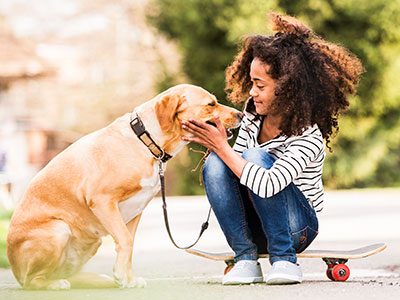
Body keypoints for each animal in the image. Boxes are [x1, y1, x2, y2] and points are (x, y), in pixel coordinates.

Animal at [6, 84, 242, 288]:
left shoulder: (136, 211)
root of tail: (15, 272)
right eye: (210, 104)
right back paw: (54, 284)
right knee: (32, 281)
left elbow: (129, 243)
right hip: (59, 229)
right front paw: (122, 277)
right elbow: (126, 241)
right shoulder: (102, 200)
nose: (241, 115)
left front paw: (128, 279)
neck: (146, 142)